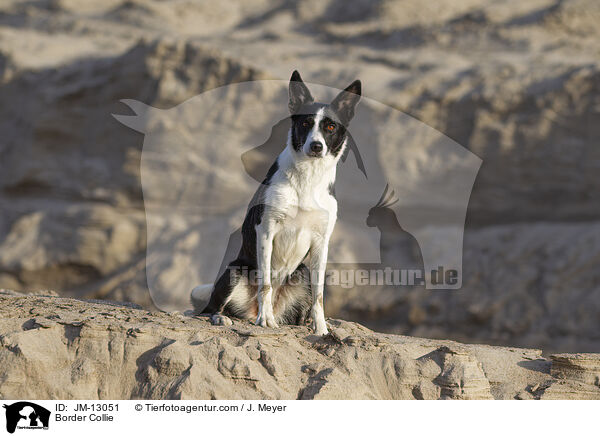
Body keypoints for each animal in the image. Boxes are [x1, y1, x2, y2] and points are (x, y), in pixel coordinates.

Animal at [192, 70, 360, 338]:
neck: (308, 177)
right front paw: (265, 320)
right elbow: (266, 285)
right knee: (212, 307)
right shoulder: (266, 230)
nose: (316, 146)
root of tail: (248, 312)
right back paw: (228, 317)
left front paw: (322, 329)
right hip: (235, 271)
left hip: (301, 273)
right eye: (305, 124)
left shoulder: (322, 242)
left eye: (330, 127)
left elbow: (320, 297)